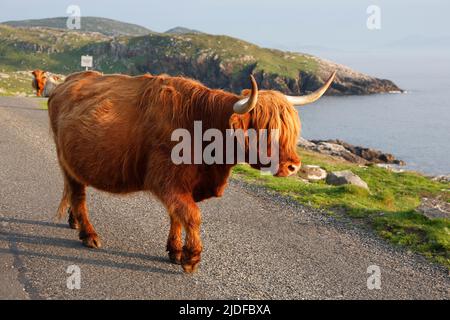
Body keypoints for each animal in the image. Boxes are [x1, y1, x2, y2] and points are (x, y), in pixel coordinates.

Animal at [47, 70, 334, 272]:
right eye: (264, 128)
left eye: (291, 128)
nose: (293, 166)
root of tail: (64, 83)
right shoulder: (166, 179)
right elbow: (192, 215)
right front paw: (191, 258)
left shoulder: (182, 186)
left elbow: (177, 215)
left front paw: (175, 251)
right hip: (66, 159)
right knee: (78, 193)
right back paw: (89, 234)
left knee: (76, 191)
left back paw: (74, 222)